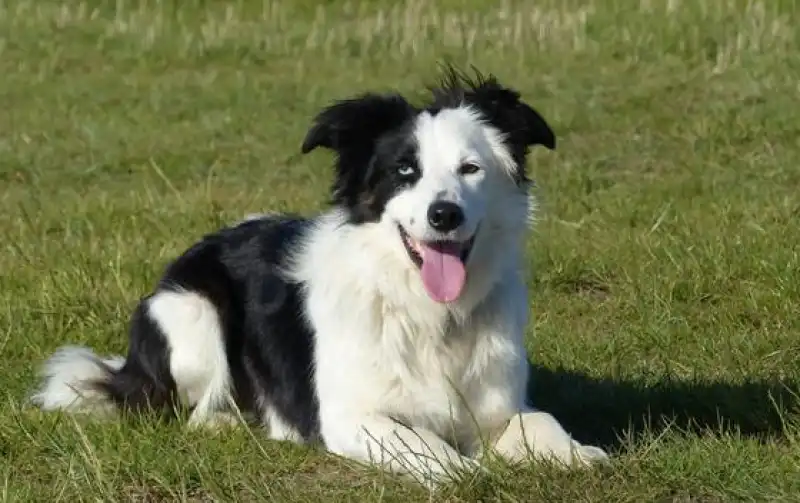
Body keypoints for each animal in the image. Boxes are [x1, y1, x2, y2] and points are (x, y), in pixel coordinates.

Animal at [28, 67, 608, 484]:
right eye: (404, 171)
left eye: (471, 168)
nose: (445, 215)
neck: (427, 315)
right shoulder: (349, 417)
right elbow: (423, 443)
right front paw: (466, 471)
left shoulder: (498, 406)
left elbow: (540, 421)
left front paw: (576, 453)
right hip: (190, 311)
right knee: (195, 402)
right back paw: (229, 421)